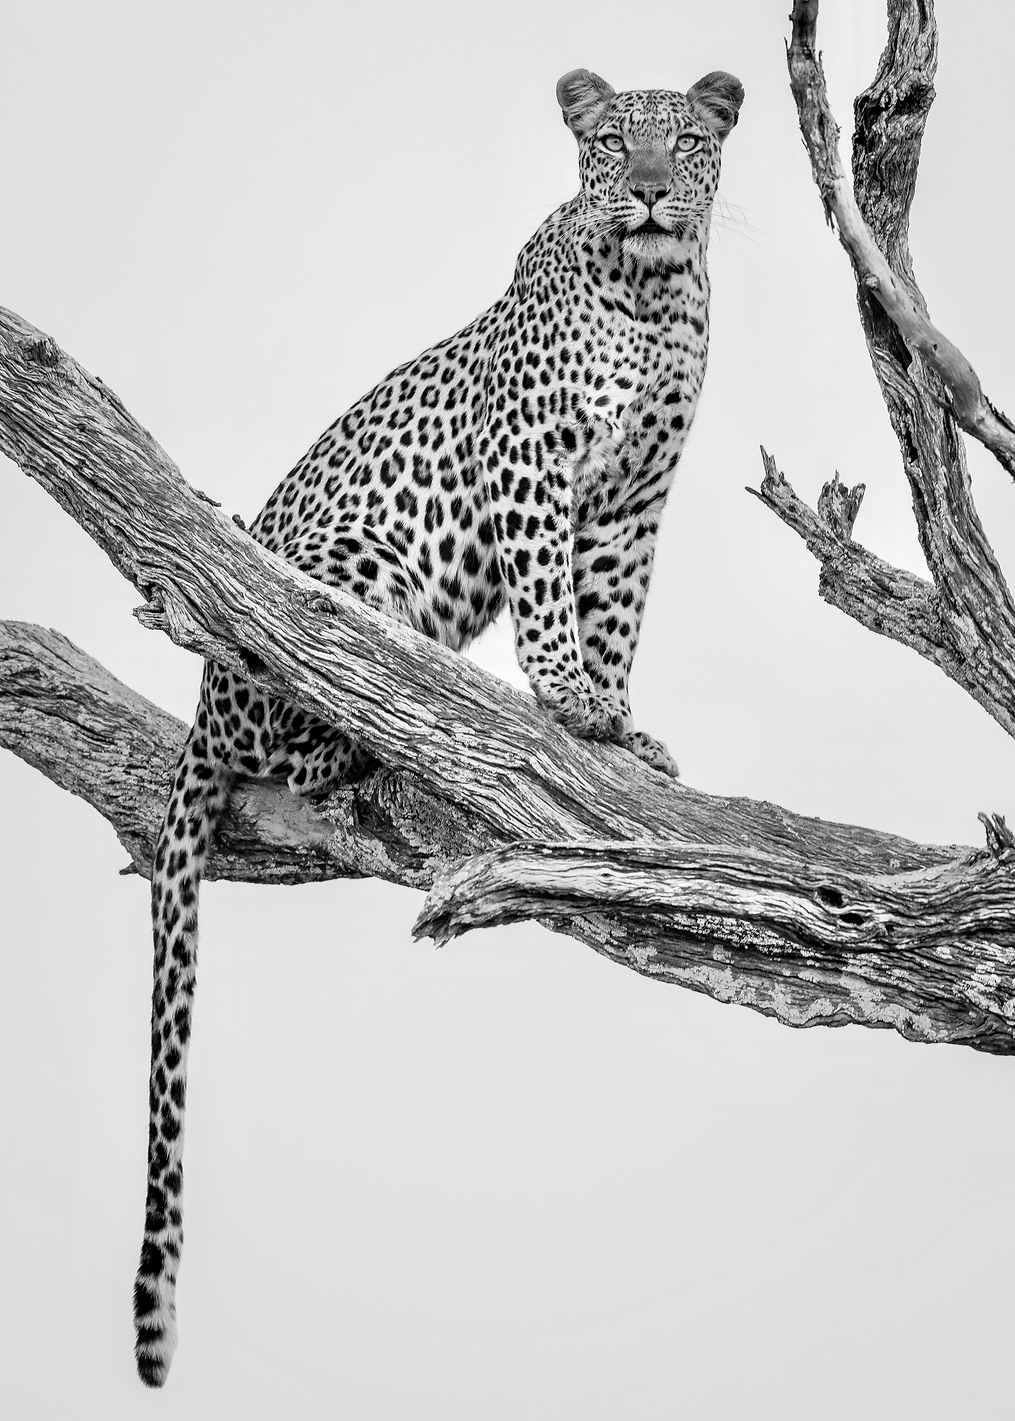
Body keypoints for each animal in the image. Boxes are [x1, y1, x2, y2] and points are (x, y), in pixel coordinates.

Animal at [132, 65, 744, 1387]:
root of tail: (197, 716)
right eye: (612, 145)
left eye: (685, 142)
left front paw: (617, 728)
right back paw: (368, 728)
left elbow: (615, 613)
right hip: (341, 577)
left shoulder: (632, 502)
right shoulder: (534, 464)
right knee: (308, 697)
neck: (655, 296)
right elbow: (552, 599)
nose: (646, 192)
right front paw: (566, 701)